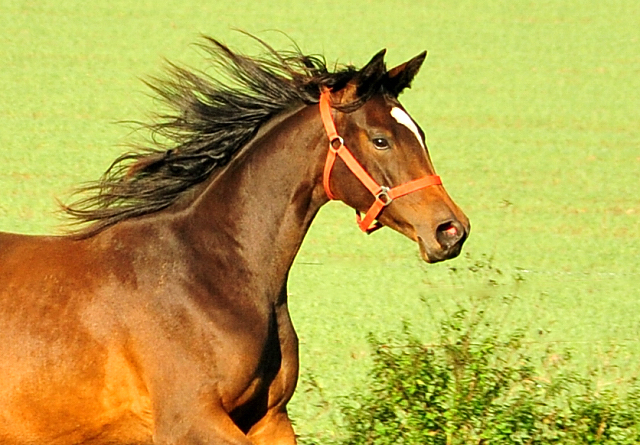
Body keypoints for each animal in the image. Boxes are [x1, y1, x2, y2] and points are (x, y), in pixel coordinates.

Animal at [0, 38, 470, 444]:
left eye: (421, 134)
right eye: (381, 140)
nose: (451, 230)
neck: (209, 275)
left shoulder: (270, 420)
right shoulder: (189, 421)